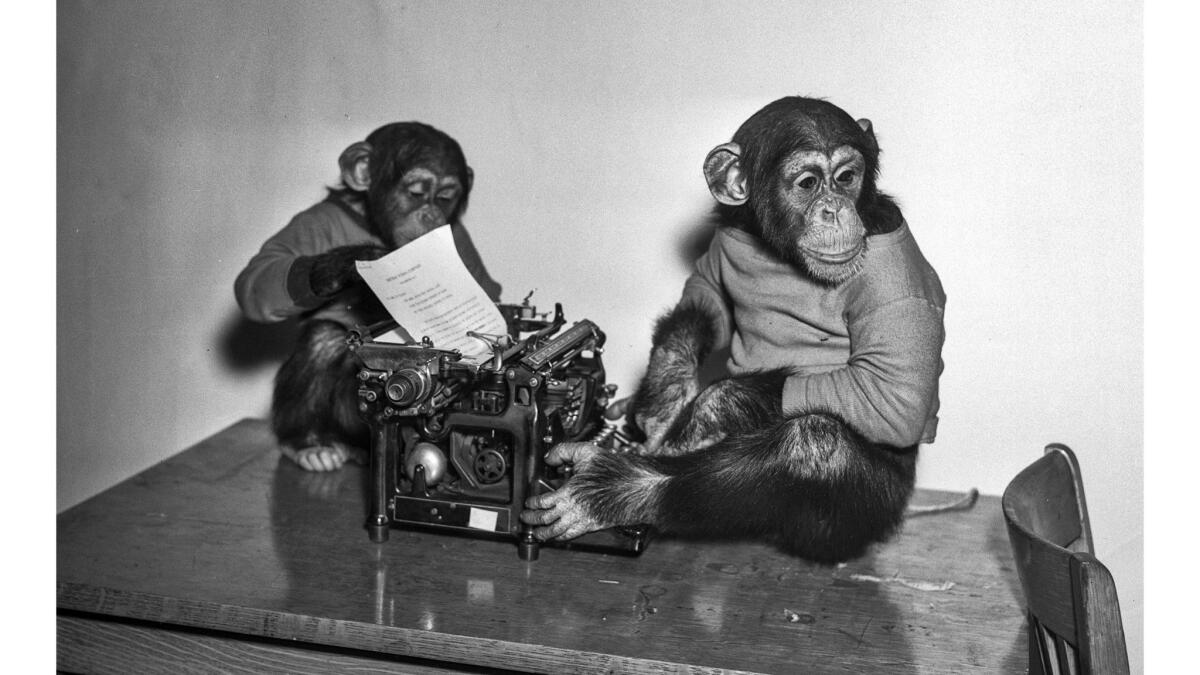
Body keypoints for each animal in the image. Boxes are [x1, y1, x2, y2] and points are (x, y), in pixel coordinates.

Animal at [234, 121, 501, 468]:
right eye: (416, 192)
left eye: (445, 197)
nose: (431, 215)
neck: (372, 221)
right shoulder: (311, 223)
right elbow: (260, 273)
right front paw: (362, 260)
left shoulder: (460, 237)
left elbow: (492, 291)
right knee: (323, 339)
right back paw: (309, 444)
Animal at [523, 97, 945, 559]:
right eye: (809, 183)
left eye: (847, 178)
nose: (835, 209)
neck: (779, 253)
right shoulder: (729, 235)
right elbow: (707, 299)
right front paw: (663, 399)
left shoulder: (897, 279)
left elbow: (893, 397)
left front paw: (704, 412)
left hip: (865, 515)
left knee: (815, 444)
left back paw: (615, 488)